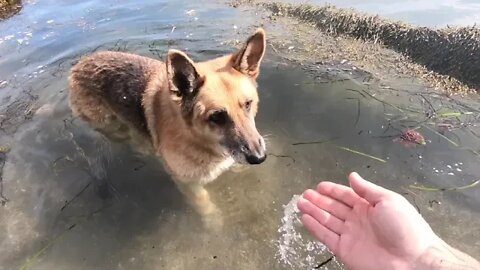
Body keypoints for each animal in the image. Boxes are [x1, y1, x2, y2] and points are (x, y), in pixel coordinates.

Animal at [69, 29, 268, 228]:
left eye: (248, 104)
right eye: (217, 117)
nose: (259, 158)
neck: (195, 137)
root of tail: (80, 64)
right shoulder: (188, 184)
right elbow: (203, 203)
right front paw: (214, 224)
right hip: (112, 129)